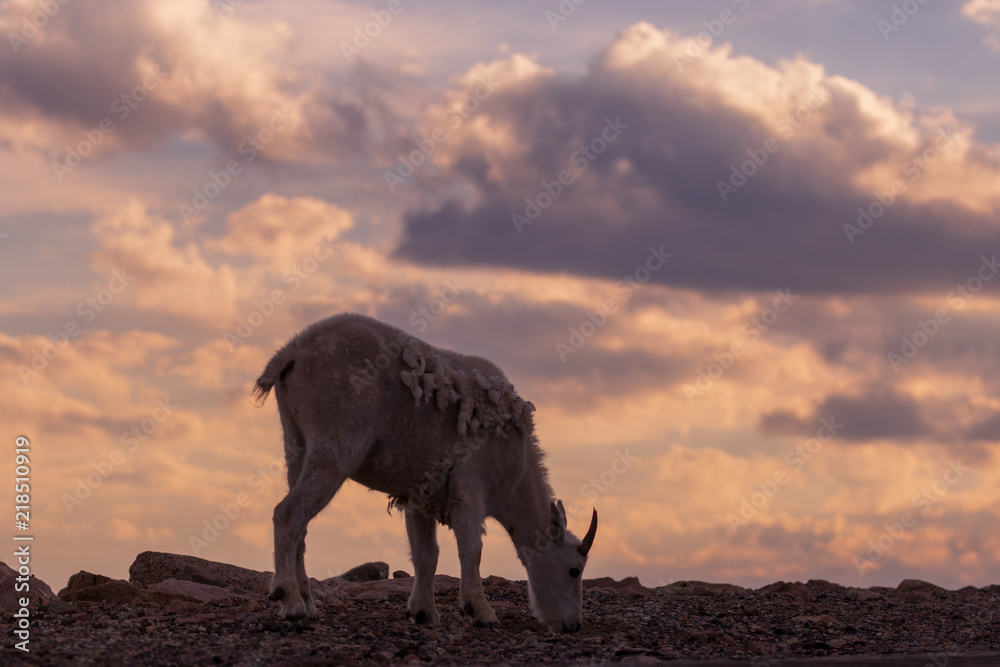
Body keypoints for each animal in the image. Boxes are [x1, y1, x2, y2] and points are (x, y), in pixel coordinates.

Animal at [253, 313, 598, 633]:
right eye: (574, 569)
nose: (573, 625)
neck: (516, 475)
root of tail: (292, 352)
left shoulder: (419, 495)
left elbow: (426, 554)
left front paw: (423, 613)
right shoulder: (470, 487)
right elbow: (471, 550)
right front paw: (481, 612)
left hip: (296, 443)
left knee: (301, 525)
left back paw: (308, 604)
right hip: (336, 443)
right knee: (288, 513)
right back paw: (291, 602)